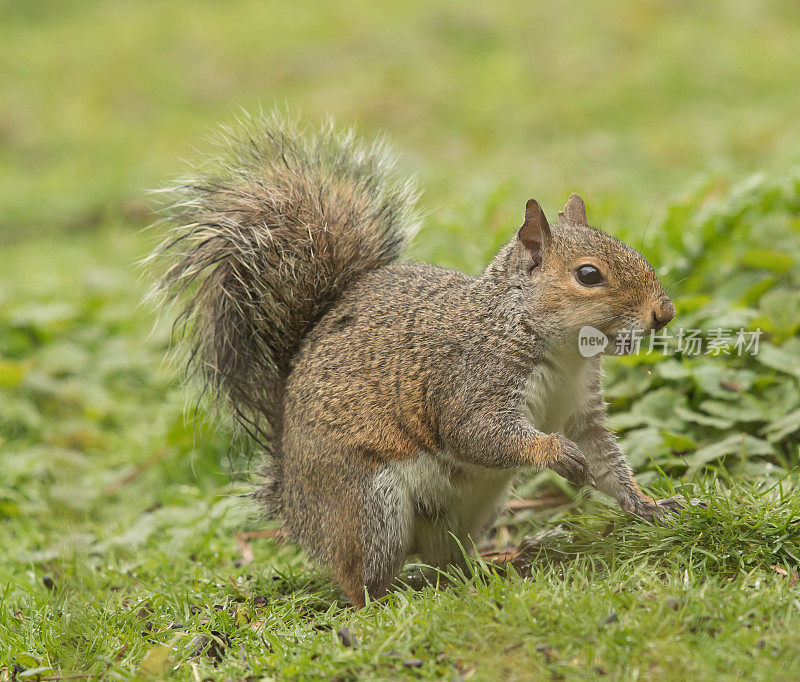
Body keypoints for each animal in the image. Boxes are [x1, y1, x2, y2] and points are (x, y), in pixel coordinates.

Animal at [152, 111, 688, 604]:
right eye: (588, 275)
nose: (664, 312)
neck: (557, 348)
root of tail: (292, 498)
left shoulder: (581, 407)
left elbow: (607, 461)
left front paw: (648, 505)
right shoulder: (470, 378)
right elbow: (477, 433)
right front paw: (555, 453)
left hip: (475, 507)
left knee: (444, 560)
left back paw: (490, 569)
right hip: (370, 505)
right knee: (358, 577)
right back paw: (383, 602)